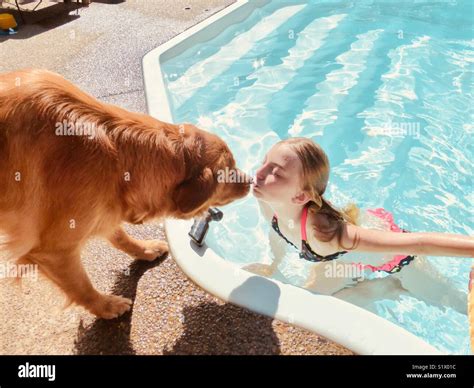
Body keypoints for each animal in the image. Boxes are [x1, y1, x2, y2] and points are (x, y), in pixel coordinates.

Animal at [0, 69, 252, 318]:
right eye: (230, 170)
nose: (251, 181)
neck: (114, 154)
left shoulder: (104, 209)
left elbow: (119, 235)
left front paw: (144, 250)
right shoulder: (54, 250)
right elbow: (82, 288)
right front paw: (105, 307)